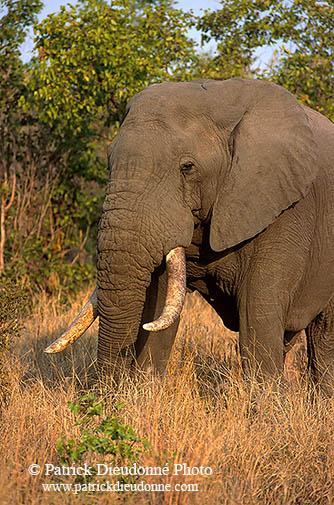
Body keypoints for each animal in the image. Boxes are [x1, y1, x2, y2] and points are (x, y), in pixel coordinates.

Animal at [45, 78, 334, 394]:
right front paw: (145, 395)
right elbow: (158, 305)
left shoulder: (284, 207)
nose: (107, 394)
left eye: (187, 167)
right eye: (109, 163)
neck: (221, 100)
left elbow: (257, 309)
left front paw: (267, 405)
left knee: (324, 336)